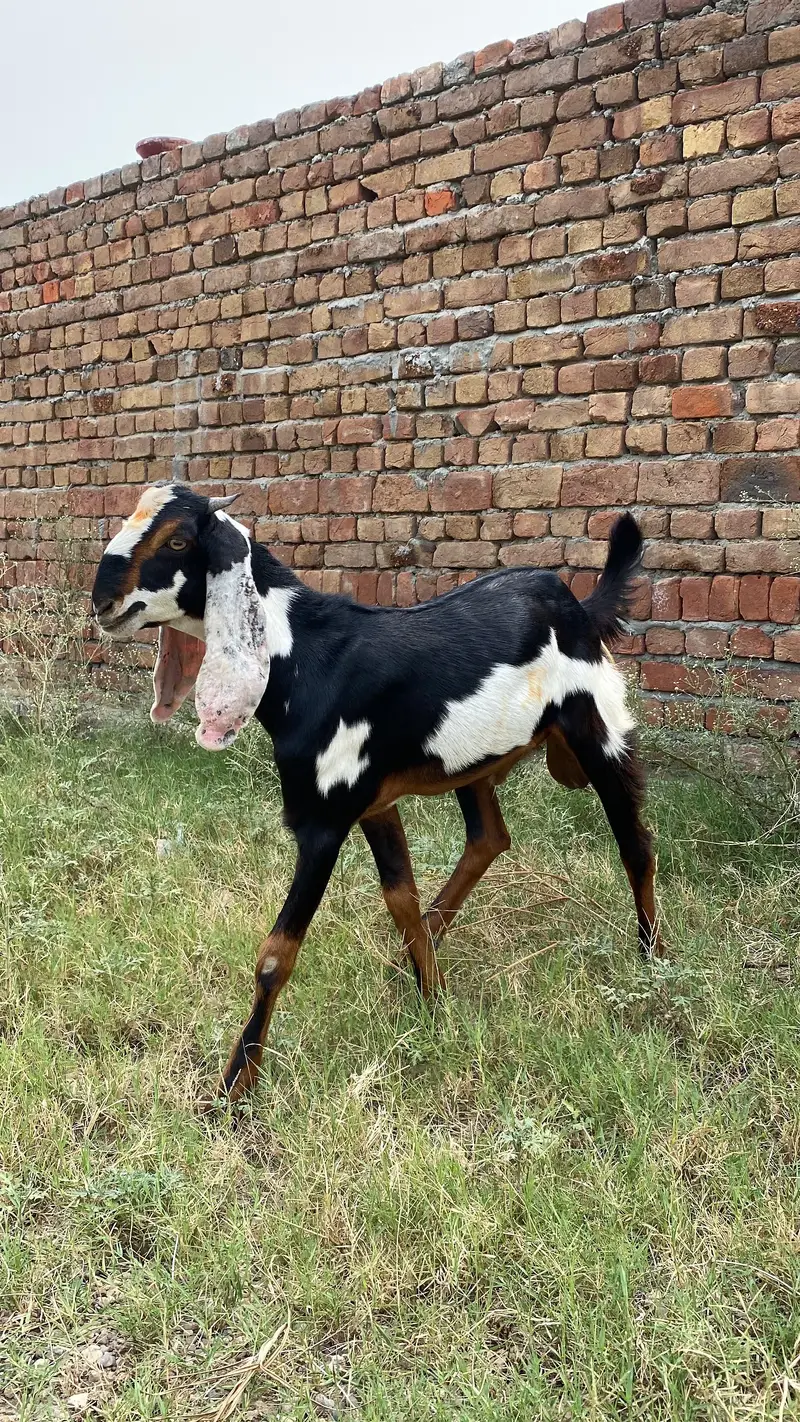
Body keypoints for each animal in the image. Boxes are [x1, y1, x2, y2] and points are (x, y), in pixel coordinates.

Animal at [92, 482, 662, 1102]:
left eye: (177, 541)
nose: (102, 602)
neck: (303, 656)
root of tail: (577, 606)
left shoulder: (324, 822)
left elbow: (275, 957)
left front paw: (233, 1090)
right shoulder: (375, 805)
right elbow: (401, 900)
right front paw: (432, 1000)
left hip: (598, 729)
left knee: (636, 843)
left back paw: (654, 958)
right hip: (474, 759)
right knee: (489, 837)